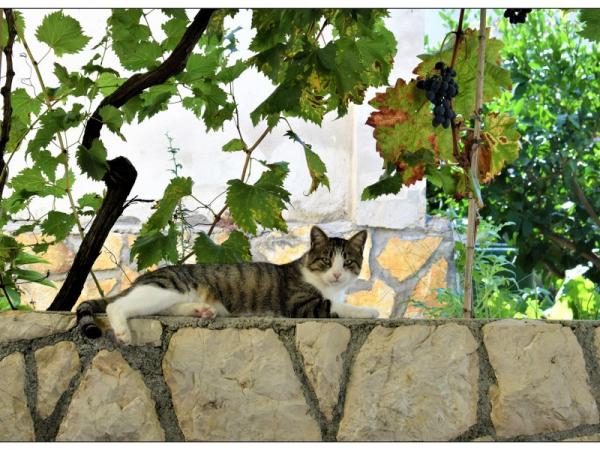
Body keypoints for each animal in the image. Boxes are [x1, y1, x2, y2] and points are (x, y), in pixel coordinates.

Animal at [76, 226, 379, 344]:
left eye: (347, 262)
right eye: (327, 261)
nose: (337, 274)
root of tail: (143, 278)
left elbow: (338, 302)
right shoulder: (303, 305)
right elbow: (337, 307)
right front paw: (370, 311)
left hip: (168, 296)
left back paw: (200, 310)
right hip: (163, 288)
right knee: (117, 305)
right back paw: (123, 331)